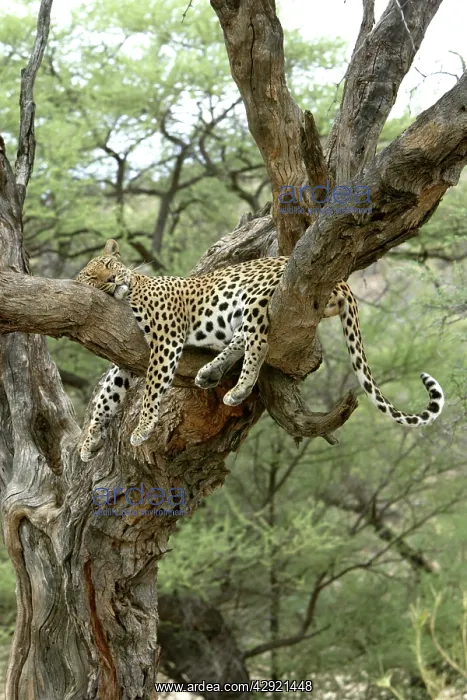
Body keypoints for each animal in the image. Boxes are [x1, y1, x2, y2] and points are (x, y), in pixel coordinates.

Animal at [76, 239, 444, 462]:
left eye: (109, 264)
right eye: (91, 277)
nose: (110, 281)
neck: (130, 292)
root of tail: (341, 281)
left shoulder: (166, 340)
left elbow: (152, 389)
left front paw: (141, 429)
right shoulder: (126, 357)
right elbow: (106, 396)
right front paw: (88, 441)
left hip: (253, 296)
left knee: (259, 342)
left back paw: (238, 390)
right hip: (239, 312)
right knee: (243, 338)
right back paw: (210, 372)